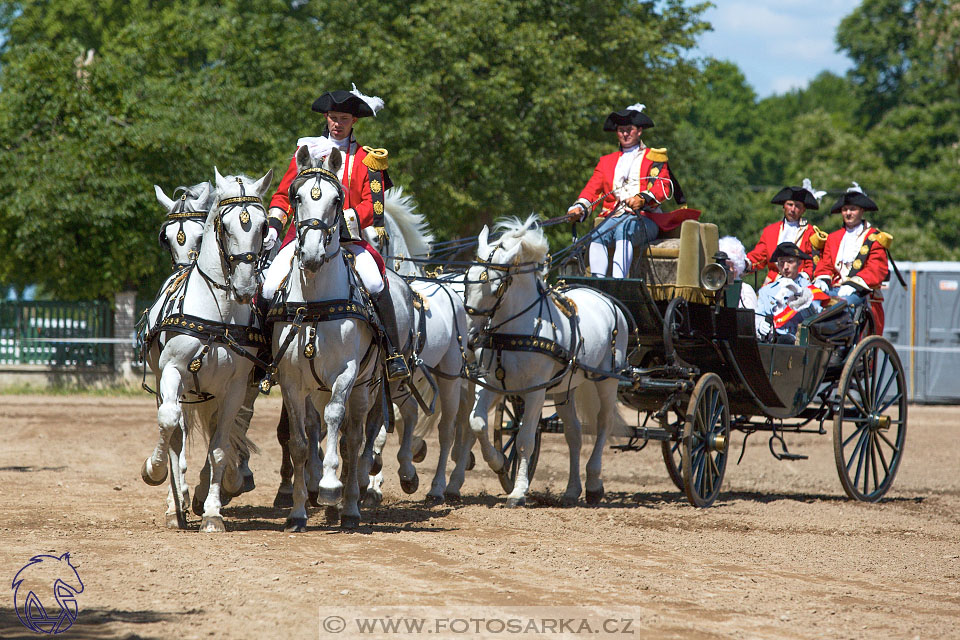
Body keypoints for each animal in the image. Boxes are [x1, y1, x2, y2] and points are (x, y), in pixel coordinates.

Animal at [141, 168, 272, 532]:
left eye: (264, 225)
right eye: (224, 227)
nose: (245, 286)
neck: (218, 315)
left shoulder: (234, 389)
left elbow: (220, 448)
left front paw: (213, 512)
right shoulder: (172, 374)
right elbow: (169, 423)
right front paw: (154, 471)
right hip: (172, 386)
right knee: (174, 432)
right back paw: (175, 504)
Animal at [268, 146, 414, 528]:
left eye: (337, 200)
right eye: (296, 196)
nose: (312, 254)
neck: (315, 302)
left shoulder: (346, 374)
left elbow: (336, 420)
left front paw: (331, 485)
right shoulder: (292, 381)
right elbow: (300, 441)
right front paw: (298, 512)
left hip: (366, 388)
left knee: (353, 437)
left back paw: (348, 506)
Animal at [362, 185, 470, 504]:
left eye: (378, 237)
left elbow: (385, 427)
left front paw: (376, 477)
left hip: (450, 377)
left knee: (449, 429)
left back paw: (438, 486)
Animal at [464, 218, 632, 508]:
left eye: (495, 287)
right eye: (466, 280)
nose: (472, 338)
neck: (514, 330)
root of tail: (603, 297)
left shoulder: (536, 390)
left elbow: (524, 440)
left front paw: (518, 492)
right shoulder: (490, 382)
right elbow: (477, 423)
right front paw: (498, 461)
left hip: (607, 379)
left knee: (603, 423)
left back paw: (594, 483)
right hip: (566, 388)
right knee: (574, 434)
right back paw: (572, 490)